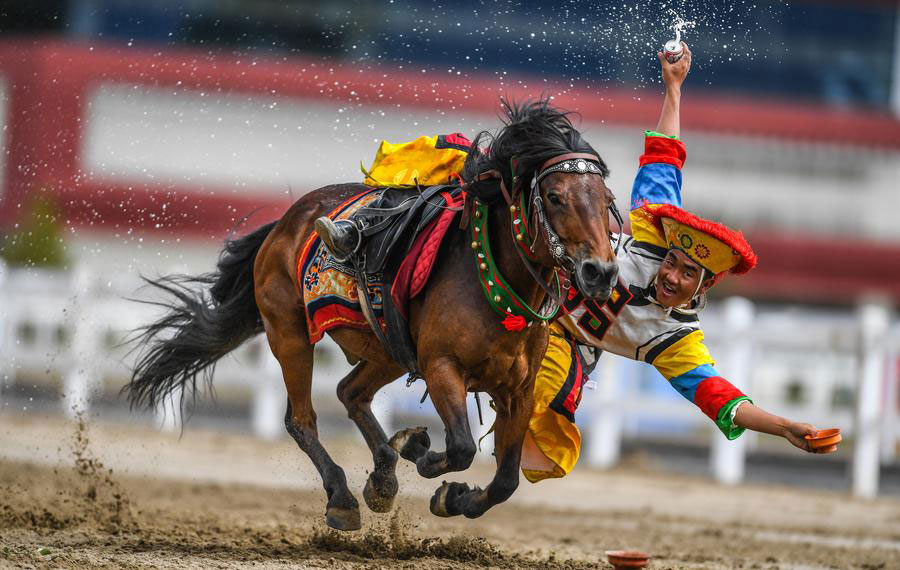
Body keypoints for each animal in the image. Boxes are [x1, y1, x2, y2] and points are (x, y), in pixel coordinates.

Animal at [126, 100, 620, 532]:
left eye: (606, 198)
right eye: (554, 196)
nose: (600, 271)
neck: (489, 278)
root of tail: (285, 223)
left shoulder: (518, 390)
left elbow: (506, 481)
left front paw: (449, 493)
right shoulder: (442, 368)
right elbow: (461, 447)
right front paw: (422, 453)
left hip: (385, 351)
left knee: (350, 392)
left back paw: (383, 476)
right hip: (288, 333)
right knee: (301, 420)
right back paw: (344, 496)